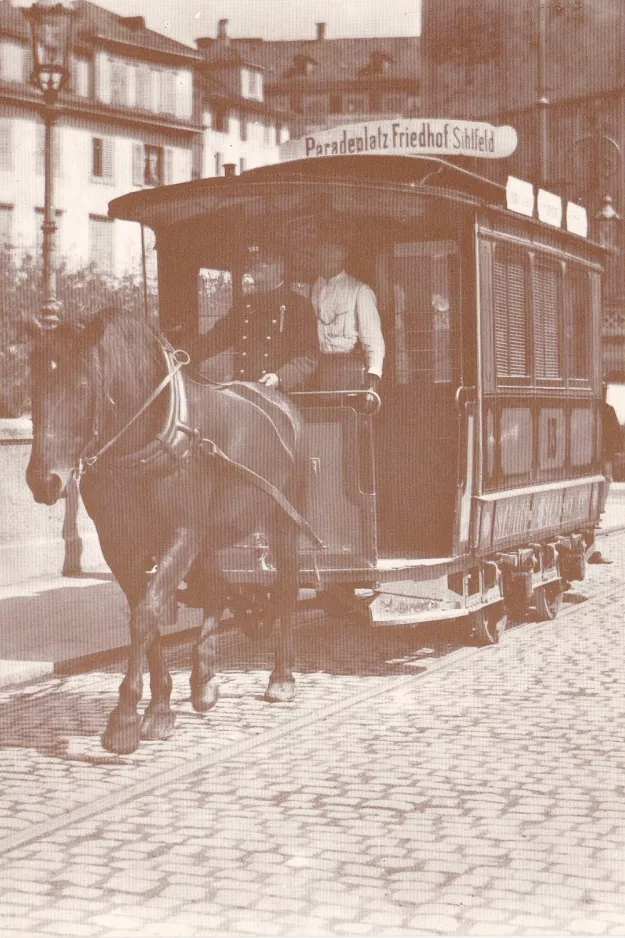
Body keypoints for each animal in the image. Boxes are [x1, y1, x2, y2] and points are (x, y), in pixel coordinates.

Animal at [26, 310, 304, 756]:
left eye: (82, 387)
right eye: (33, 385)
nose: (44, 480)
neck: (143, 438)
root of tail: (278, 401)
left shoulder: (182, 534)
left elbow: (146, 615)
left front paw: (125, 717)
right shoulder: (120, 545)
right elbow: (147, 616)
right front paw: (159, 708)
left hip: (283, 520)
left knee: (284, 590)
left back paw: (281, 677)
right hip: (210, 539)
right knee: (218, 589)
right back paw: (204, 679)